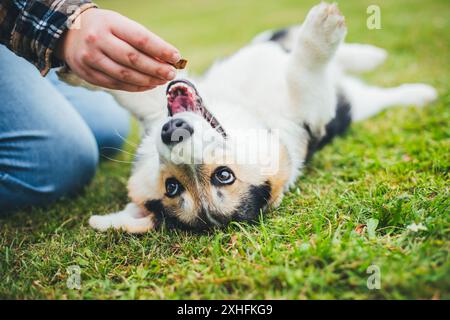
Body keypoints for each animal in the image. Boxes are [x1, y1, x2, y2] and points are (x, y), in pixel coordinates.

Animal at [59, 2, 436, 232]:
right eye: (172, 187)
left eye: (223, 176)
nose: (173, 130)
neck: (247, 111)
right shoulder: (315, 110)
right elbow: (303, 73)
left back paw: (382, 64)